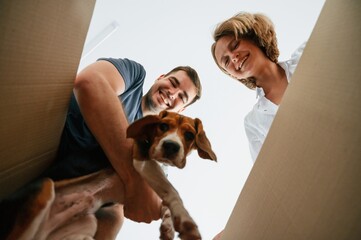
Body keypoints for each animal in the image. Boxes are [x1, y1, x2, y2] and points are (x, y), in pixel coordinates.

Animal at [0, 109, 215, 239]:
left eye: (189, 135)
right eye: (163, 126)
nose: (171, 146)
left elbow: (165, 203)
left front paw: (168, 227)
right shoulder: (141, 160)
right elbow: (172, 191)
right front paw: (187, 222)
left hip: (93, 223)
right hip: (44, 187)